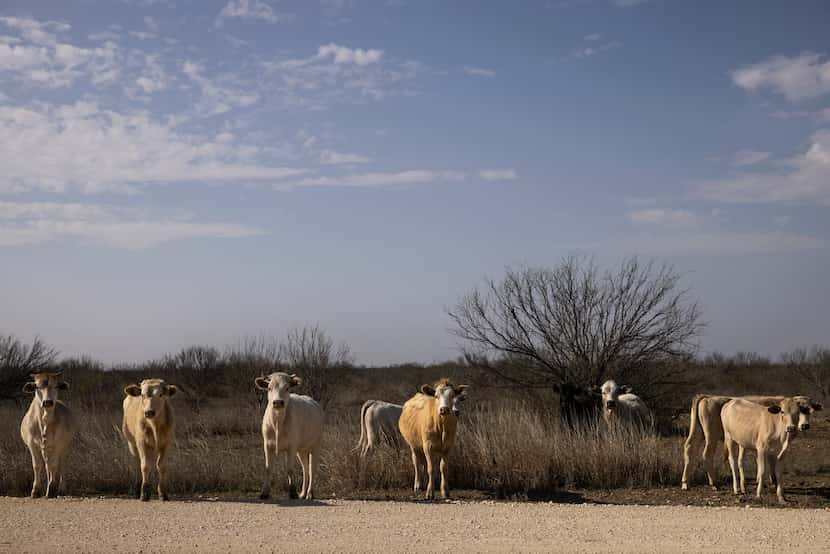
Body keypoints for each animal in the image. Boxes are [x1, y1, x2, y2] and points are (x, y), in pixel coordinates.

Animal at [684, 392, 824, 488]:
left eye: (810, 410)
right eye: (799, 411)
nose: (805, 425)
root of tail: (707, 397)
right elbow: (768, 461)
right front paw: (770, 480)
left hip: (698, 432)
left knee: (689, 449)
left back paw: (685, 483)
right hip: (711, 436)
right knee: (707, 454)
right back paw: (714, 482)